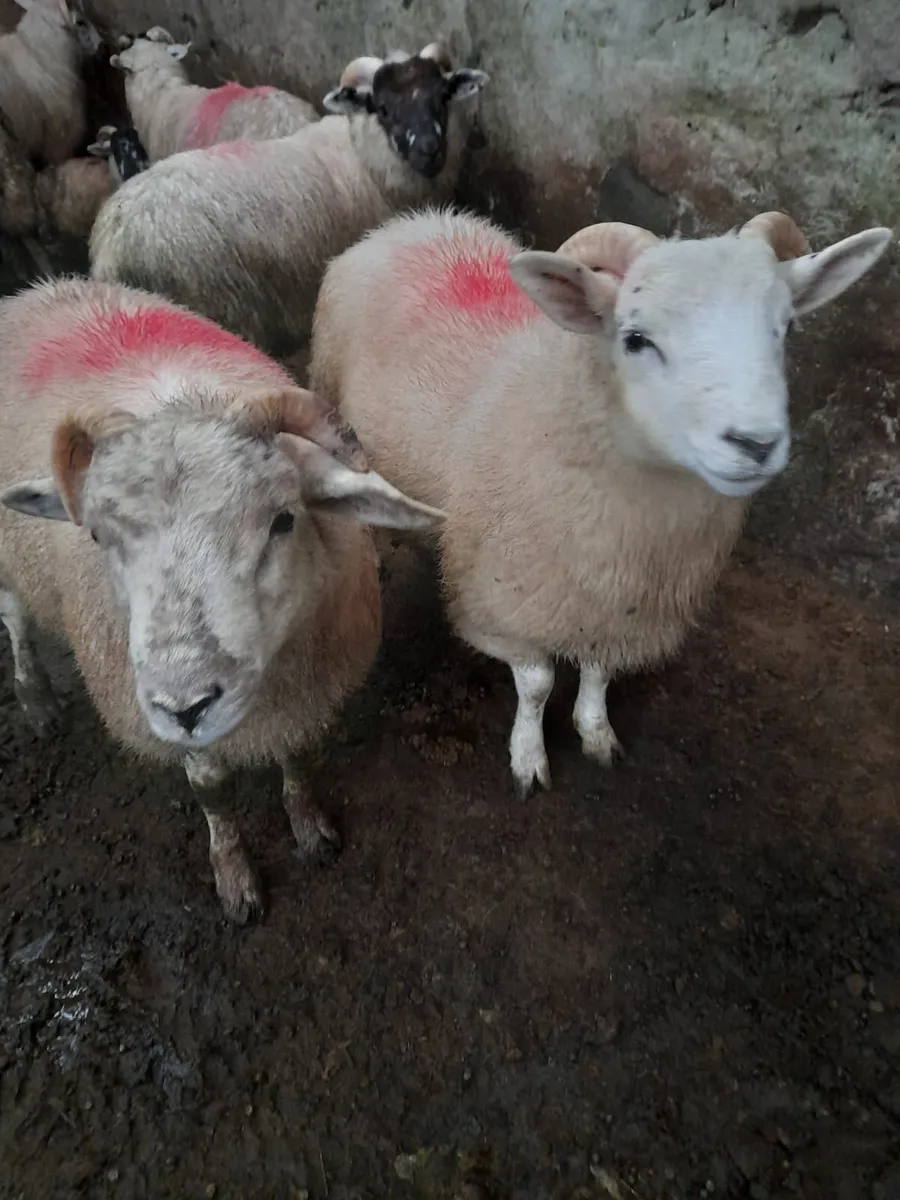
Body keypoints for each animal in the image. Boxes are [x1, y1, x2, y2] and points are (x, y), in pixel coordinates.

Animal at [0, 277, 444, 921]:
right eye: (97, 537)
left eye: (284, 520)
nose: (185, 708)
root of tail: (42, 287)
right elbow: (211, 790)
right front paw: (234, 877)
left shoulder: (305, 692)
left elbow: (298, 757)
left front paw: (310, 827)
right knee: (13, 615)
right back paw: (36, 697)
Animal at [309, 207, 892, 797]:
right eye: (635, 338)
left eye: (787, 327)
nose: (755, 443)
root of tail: (415, 221)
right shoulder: (502, 602)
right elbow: (538, 683)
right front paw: (529, 756)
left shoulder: (616, 607)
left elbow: (600, 673)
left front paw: (595, 731)